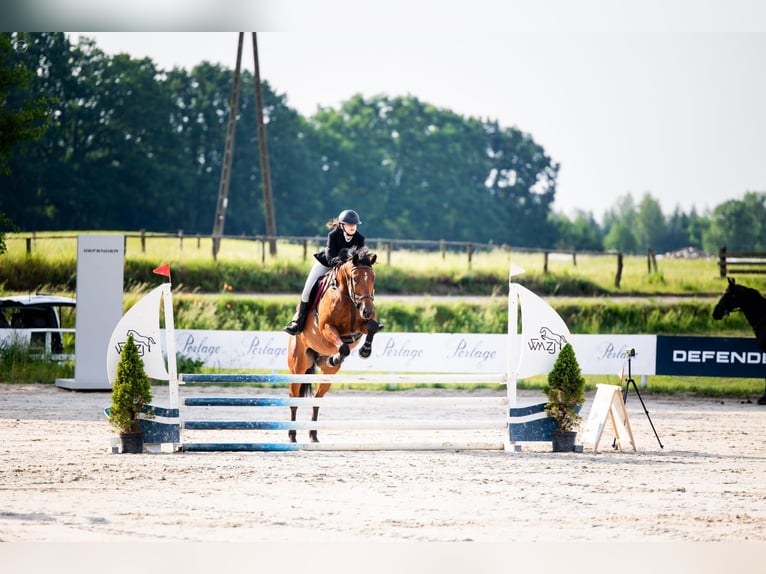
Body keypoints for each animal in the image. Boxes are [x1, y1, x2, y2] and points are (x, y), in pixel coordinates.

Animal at [286, 245, 382, 444]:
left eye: (373, 278)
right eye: (355, 278)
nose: (367, 310)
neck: (349, 297)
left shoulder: (361, 326)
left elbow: (371, 327)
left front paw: (365, 351)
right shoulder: (326, 327)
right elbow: (343, 346)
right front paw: (336, 357)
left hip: (327, 376)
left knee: (317, 399)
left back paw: (313, 435)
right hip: (298, 366)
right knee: (294, 397)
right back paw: (291, 435)